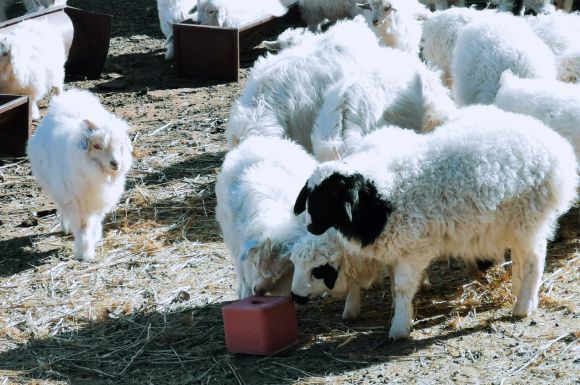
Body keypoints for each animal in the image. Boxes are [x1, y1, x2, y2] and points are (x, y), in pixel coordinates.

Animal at [26, 88, 133, 260]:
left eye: (119, 144)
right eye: (96, 146)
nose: (115, 163)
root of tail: (72, 96)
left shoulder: (97, 200)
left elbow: (94, 221)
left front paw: (95, 237)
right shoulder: (76, 199)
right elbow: (83, 225)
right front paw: (84, 252)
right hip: (59, 191)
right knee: (62, 209)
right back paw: (67, 227)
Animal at [294, 105, 580, 340]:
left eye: (330, 197)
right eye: (310, 195)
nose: (310, 227)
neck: (381, 200)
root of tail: (559, 152)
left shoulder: (413, 250)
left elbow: (402, 288)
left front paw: (399, 328)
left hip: (529, 218)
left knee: (534, 259)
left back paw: (523, 306)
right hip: (517, 223)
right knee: (522, 257)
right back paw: (518, 290)